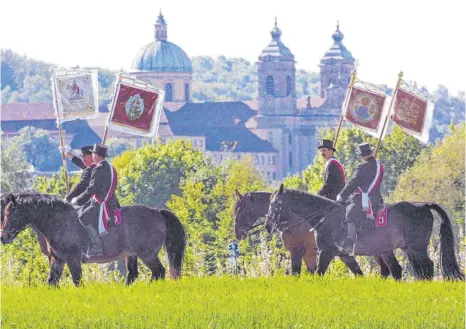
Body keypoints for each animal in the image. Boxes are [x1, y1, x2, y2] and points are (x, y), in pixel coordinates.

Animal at [0, 192, 186, 284]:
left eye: (11, 213)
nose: (4, 236)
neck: (58, 221)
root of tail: (158, 212)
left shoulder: (73, 258)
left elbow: (77, 280)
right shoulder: (57, 259)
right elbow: (52, 281)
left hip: (147, 254)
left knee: (159, 272)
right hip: (132, 255)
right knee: (134, 274)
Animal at [264, 184, 464, 280]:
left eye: (275, 203)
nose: (268, 225)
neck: (325, 215)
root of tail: (423, 205)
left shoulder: (326, 252)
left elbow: (319, 273)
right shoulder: (344, 255)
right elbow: (358, 273)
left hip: (416, 247)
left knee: (426, 266)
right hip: (403, 249)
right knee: (410, 269)